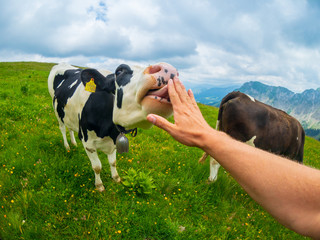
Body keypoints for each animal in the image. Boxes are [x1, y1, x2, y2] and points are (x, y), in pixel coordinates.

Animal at [47, 62, 179, 191]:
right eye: (119, 71)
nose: (167, 68)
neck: (109, 130)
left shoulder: (115, 140)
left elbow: (113, 162)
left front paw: (116, 178)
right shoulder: (88, 142)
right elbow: (97, 166)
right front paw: (99, 185)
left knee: (70, 128)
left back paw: (74, 143)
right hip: (57, 111)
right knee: (62, 128)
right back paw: (67, 146)